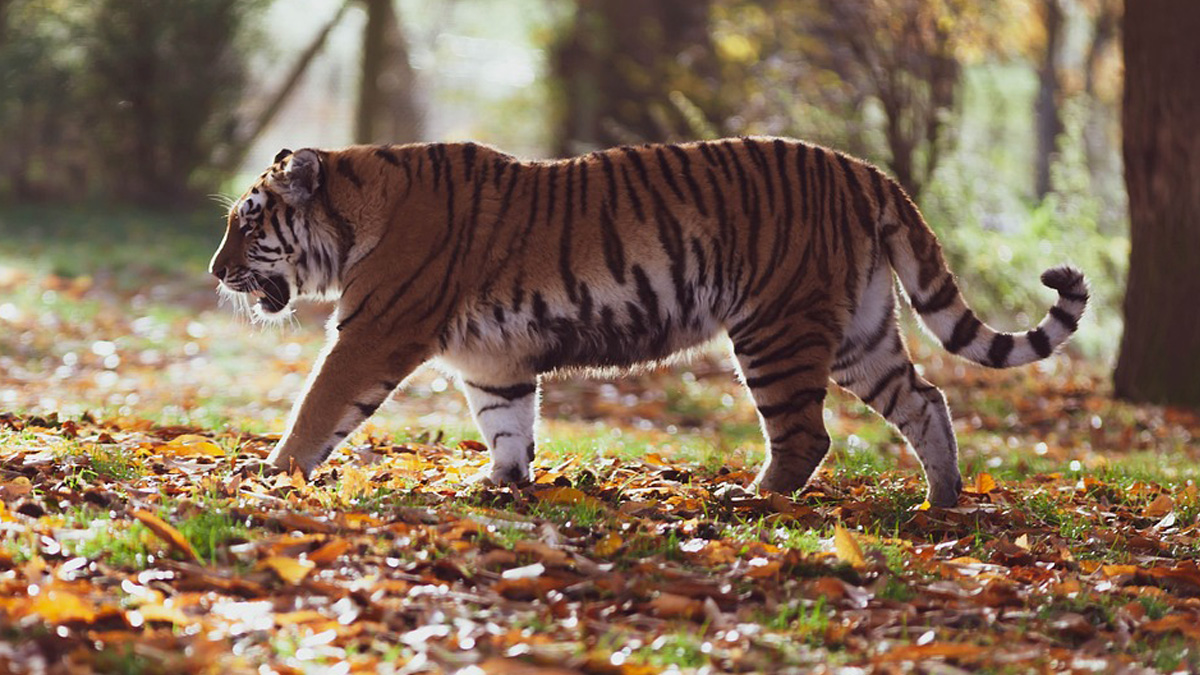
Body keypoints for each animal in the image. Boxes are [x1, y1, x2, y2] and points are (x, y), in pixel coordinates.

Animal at [206, 138, 1089, 504]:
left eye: (249, 223)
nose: (215, 273)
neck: (357, 209)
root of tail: (866, 170)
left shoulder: (372, 333)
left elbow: (318, 406)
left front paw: (271, 473)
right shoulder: (493, 360)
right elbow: (507, 423)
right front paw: (498, 483)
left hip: (775, 328)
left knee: (807, 435)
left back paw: (750, 499)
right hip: (859, 334)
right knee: (926, 400)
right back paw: (942, 502)